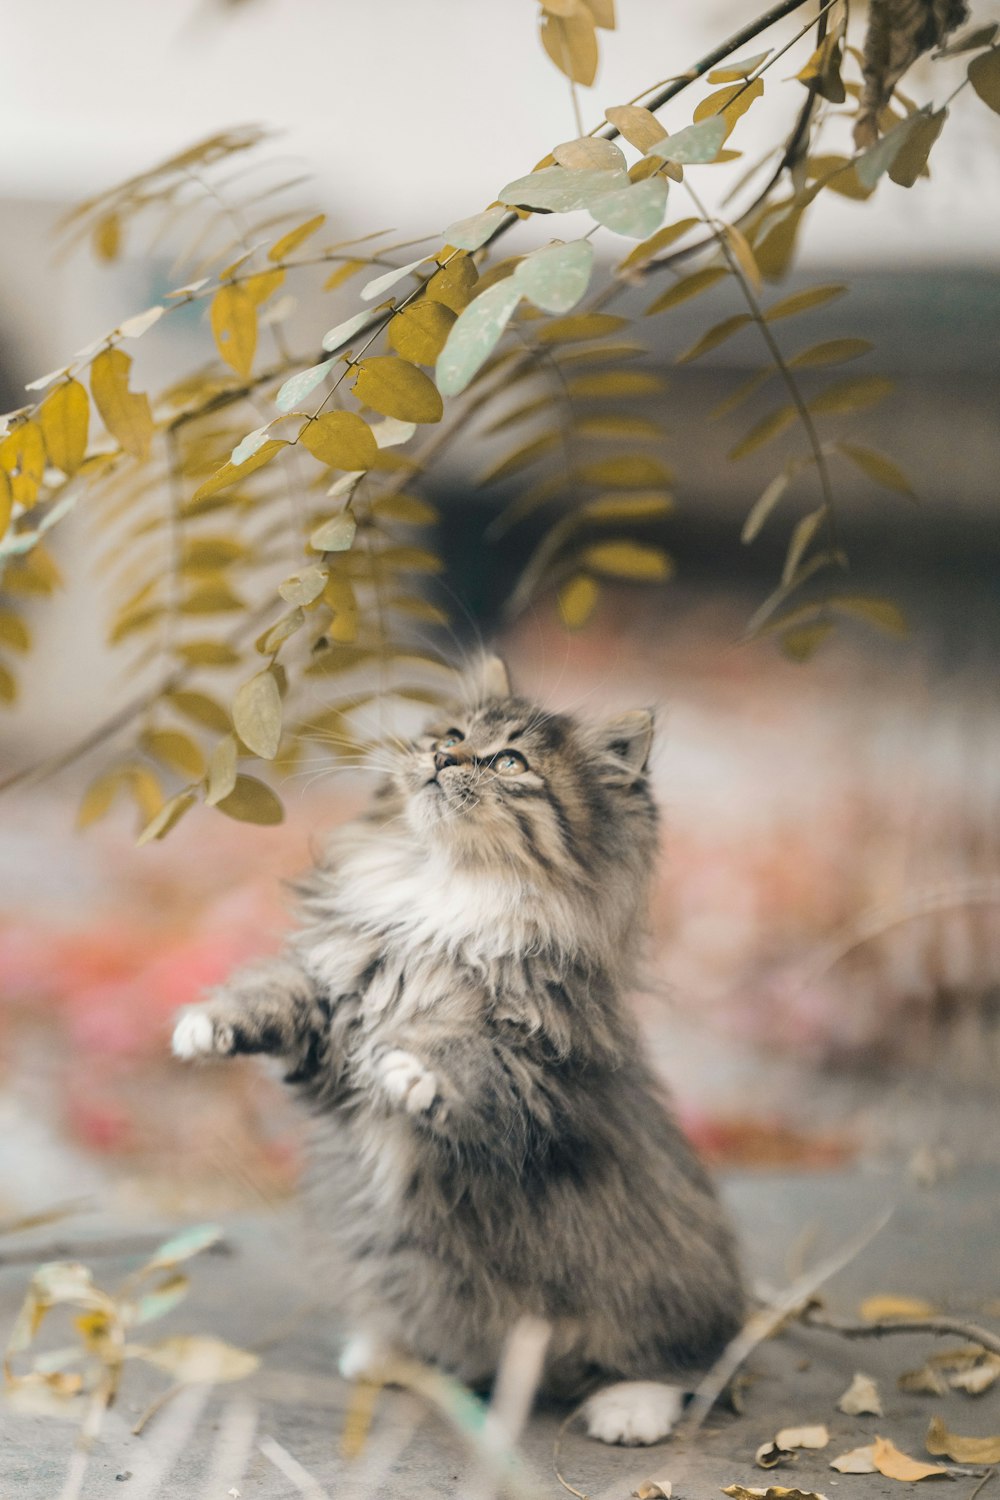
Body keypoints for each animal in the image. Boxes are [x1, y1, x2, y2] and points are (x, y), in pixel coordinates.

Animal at [176, 657, 746, 1440]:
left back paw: (628, 1409)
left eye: (509, 762)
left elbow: (468, 1063)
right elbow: (276, 992)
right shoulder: (329, 1035)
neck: (446, 899)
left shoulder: (534, 1071)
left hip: (658, 1280)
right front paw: (207, 1025)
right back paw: (387, 1352)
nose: (446, 761)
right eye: (449, 736)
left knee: (684, 1365)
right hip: (394, 1262)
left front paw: (410, 1069)